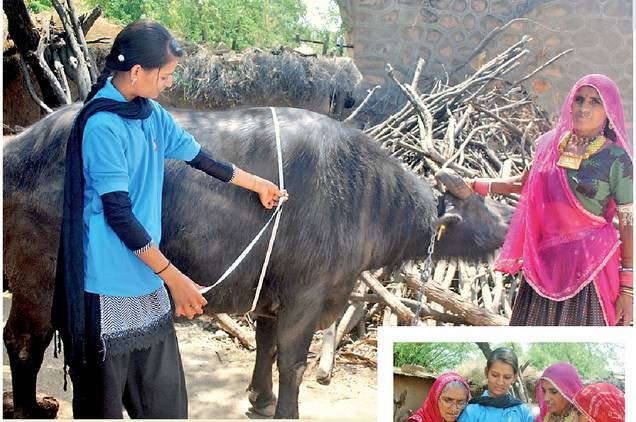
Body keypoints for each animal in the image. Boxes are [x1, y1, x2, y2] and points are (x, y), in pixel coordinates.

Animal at [3, 104, 512, 418]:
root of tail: (18, 150)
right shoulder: (306, 296)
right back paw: (28, 408)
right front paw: (288, 409)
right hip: (36, 283)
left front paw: (259, 398)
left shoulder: (270, 295)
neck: (366, 197)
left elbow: (265, 347)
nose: (509, 223)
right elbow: (293, 360)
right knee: (23, 342)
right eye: (477, 206)